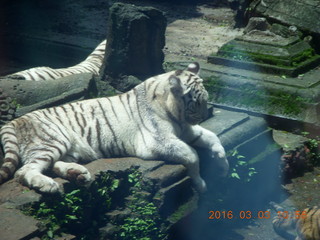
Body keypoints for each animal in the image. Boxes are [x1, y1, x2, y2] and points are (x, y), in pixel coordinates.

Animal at [0, 62, 230, 193]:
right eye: (197, 102)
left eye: (205, 100)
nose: (203, 115)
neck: (175, 112)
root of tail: (13, 121)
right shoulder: (157, 141)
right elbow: (192, 154)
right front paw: (200, 183)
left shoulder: (187, 130)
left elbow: (213, 137)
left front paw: (223, 163)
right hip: (52, 140)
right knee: (24, 170)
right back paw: (48, 185)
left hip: (68, 148)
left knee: (55, 165)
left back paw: (78, 174)